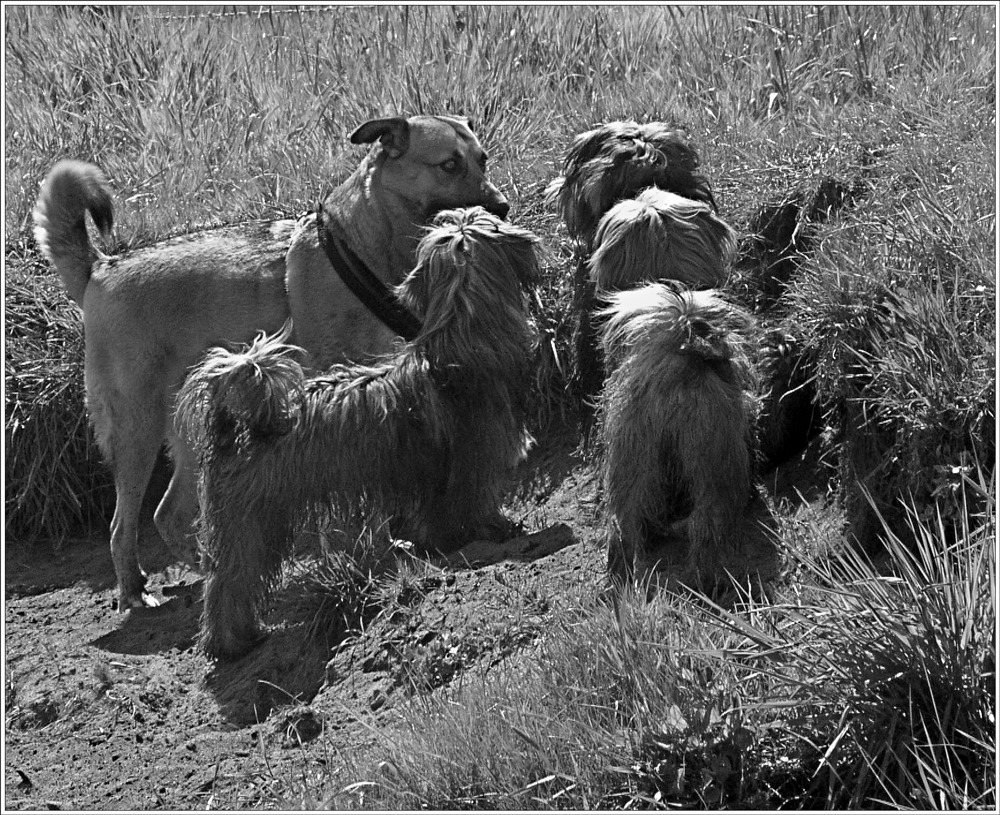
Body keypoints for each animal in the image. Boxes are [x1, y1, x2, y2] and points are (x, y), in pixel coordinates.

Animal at [34, 116, 512, 612]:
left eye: (482, 159)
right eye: (449, 165)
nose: (503, 207)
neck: (362, 243)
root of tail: (100, 268)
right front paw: (362, 539)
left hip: (189, 431)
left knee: (168, 515)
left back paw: (209, 567)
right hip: (136, 432)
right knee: (121, 526)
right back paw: (133, 590)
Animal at [178, 207, 540, 660]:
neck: (460, 335)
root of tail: (235, 423)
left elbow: (435, 518)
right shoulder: (475, 459)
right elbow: (473, 502)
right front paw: (495, 528)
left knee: (224, 580)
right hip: (253, 520)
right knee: (231, 582)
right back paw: (232, 642)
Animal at [596, 284, 776, 588]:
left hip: (631, 460)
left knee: (621, 528)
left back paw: (621, 578)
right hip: (714, 466)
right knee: (705, 523)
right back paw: (708, 581)